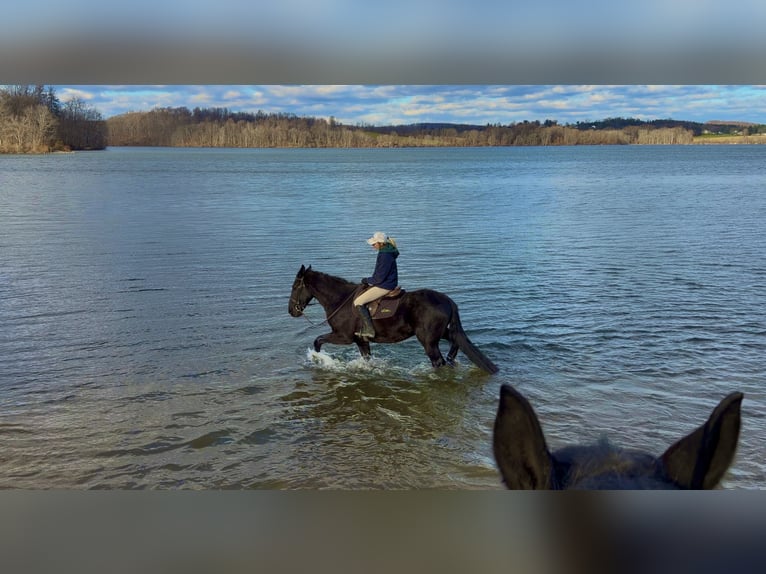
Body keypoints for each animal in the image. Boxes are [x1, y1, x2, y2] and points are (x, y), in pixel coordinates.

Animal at [288, 265, 499, 374]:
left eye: (295, 287)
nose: (291, 311)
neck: (340, 299)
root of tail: (447, 300)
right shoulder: (360, 340)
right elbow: (366, 358)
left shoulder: (343, 336)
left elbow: (317, 341)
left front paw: (319, 359)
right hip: (440, 333)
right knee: (454, 341)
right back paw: (452, 357)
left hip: (428, 340)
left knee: (438, 362)